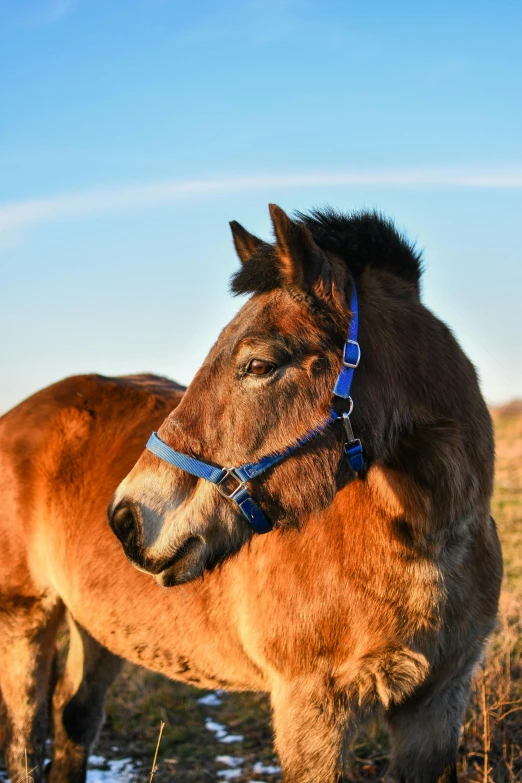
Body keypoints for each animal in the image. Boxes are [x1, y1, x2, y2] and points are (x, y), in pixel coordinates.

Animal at [2, 204, 502, 783]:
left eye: (260, 365)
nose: (127, 518)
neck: (424, 545)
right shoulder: (313, 713)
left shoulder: (437, 708)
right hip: (24, 619)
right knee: (24, 740)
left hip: (98, 627)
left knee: (75, 720)